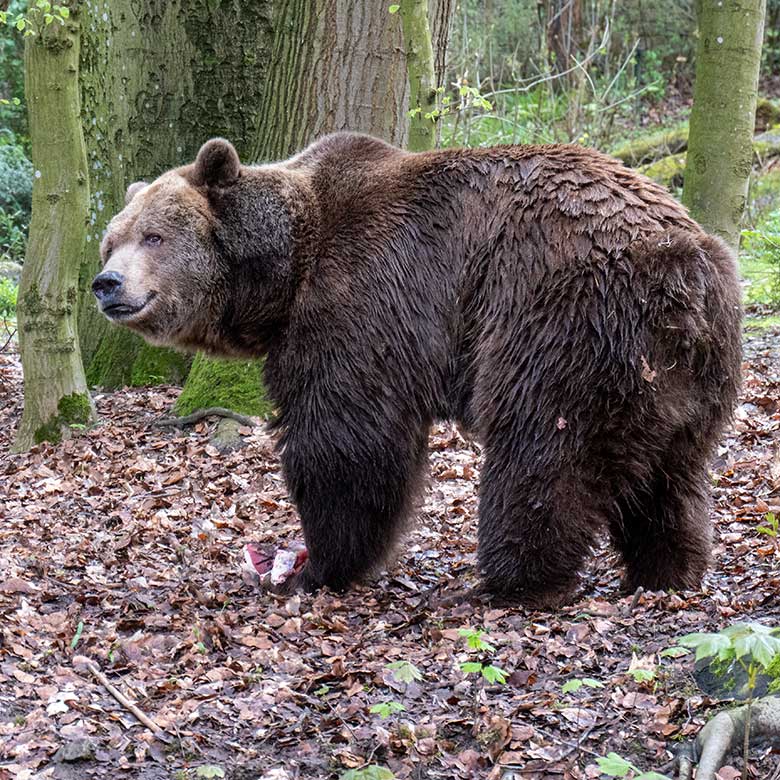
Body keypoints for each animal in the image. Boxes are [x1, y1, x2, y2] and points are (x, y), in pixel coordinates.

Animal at [94, 133, 740, 608]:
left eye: (154, 236)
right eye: (110, 240)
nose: (107, 283)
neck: (287, 273)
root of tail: (684, 265)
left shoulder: (361, 304)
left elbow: (347, 444)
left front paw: (318, 565)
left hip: (562, 322)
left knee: (542, 453)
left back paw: (513, 582)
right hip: (686, 375)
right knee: (671, 476)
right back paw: (667, 570)